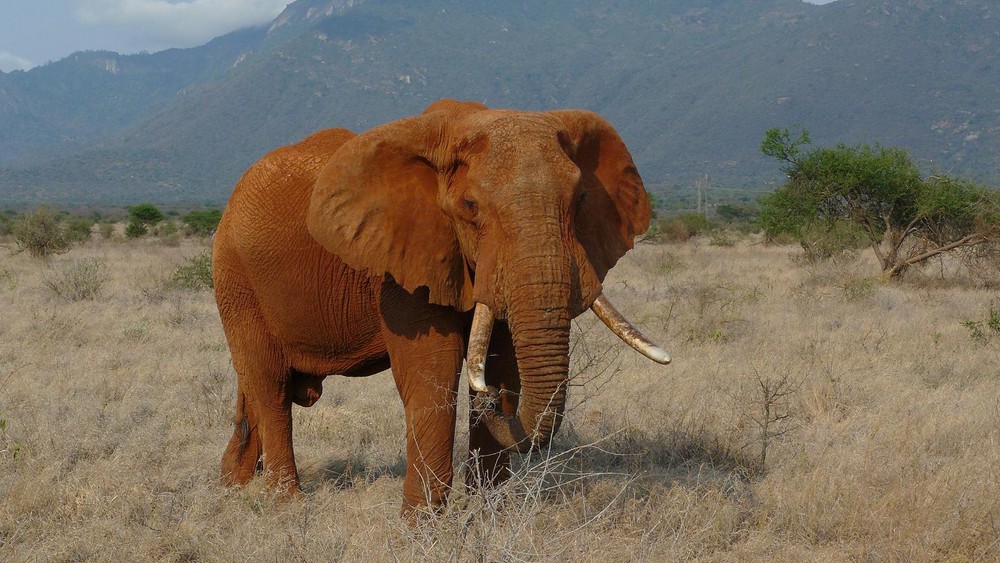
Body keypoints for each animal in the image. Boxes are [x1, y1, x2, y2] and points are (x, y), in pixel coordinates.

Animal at [215, 99, 676, 512]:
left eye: (580, 199)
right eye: (470, 207)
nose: (492, 400)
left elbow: (504, 358)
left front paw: (489, 513)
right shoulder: (405, 263)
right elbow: (432, 371)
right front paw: (423, 526)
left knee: (257, 387)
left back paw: (233, 485)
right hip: (236, 278)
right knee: (270, 384)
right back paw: (284, 504)